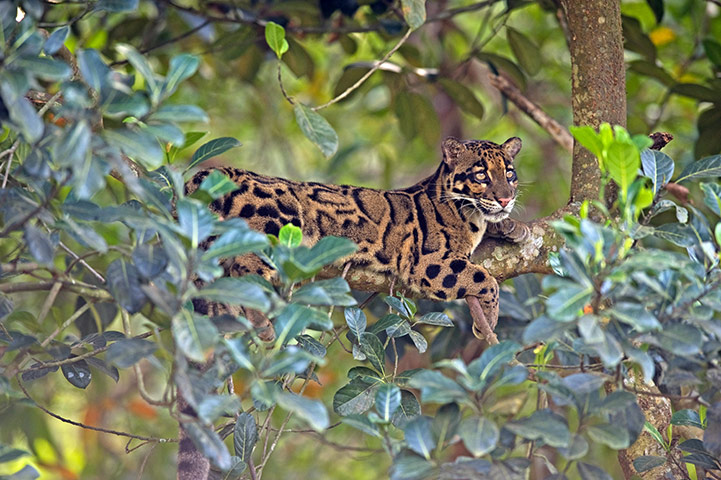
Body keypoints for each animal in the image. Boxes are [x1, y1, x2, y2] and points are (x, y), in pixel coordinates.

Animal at [186, 136, 530, 339]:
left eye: (509, 174)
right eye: (481, 175)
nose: (505, 198)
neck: (469, 217)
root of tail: (223, 171)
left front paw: (513, 227)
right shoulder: (427, 262)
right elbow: (487, 280)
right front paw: (489, 321)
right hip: (276, 223)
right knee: (244, 269)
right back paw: (259, 322)